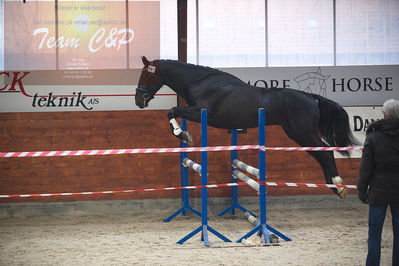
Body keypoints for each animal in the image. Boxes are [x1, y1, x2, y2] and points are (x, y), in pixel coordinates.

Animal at [136, 56, 358, 198]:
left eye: (146, 75)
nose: (139, 100)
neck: (199, 82)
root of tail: (311, 97)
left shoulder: (200, 112)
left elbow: (172, 111)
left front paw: (183, 135)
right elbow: (172, 112)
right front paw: (183, 134)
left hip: (304, 134)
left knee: (326, 153)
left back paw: (339, 186)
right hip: (297, 134)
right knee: (321, 155)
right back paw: (334, 187)